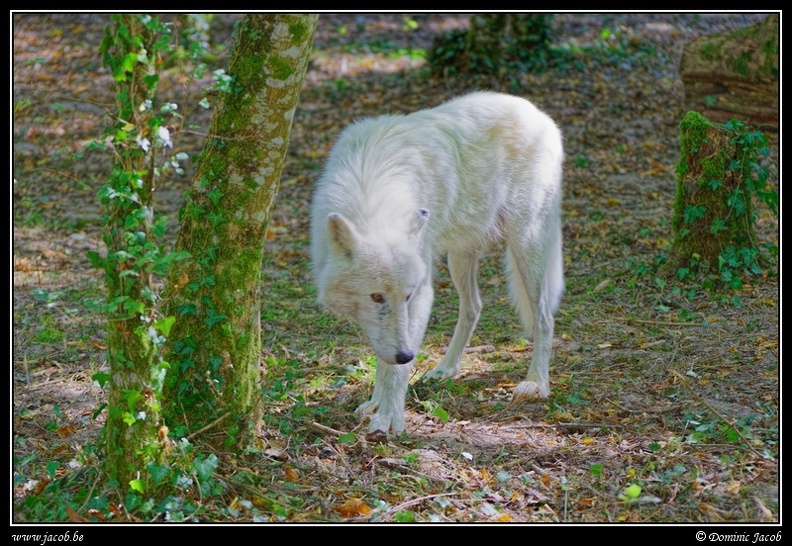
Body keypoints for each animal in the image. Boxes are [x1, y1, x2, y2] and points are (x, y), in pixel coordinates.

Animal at [310, 90, 564, 434]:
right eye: (376, 297)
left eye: (406, 295)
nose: (406, 355)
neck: (371, 193)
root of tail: (540, 115)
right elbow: (384, 358)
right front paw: (376, 404)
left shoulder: (421, 293)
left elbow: (395, 371)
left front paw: (389, 418)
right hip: (460, 257)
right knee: (474, 307)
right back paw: (446, 369)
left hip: (526, 245)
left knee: (544, 317)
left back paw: (536, 383)